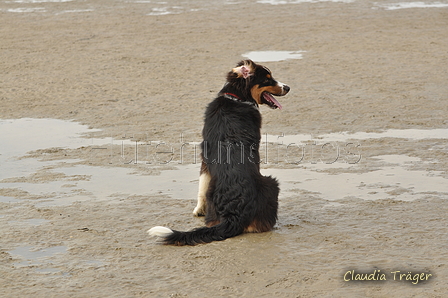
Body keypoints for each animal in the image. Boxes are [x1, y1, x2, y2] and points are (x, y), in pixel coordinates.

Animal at [149, 59, 290, 246]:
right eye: (267, 79)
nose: (288, 87)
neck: (236, 98)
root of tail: (234, 213)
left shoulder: (204, 158)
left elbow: (201, 185)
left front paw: (198, 210)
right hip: (272, 183)